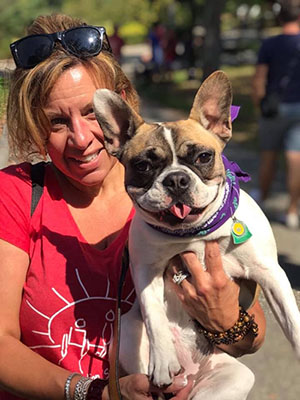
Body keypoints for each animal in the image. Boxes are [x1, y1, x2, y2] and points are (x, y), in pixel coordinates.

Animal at [93, 70, 300, 398]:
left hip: (235, 377)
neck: (194, 233)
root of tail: (190, 377)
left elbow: (293, 322)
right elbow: (154, 314)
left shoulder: (270, 273)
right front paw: (163, 359)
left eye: (203, 157)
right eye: (143, 165)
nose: (176, 179)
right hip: (125, 337)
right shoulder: (145, 270)